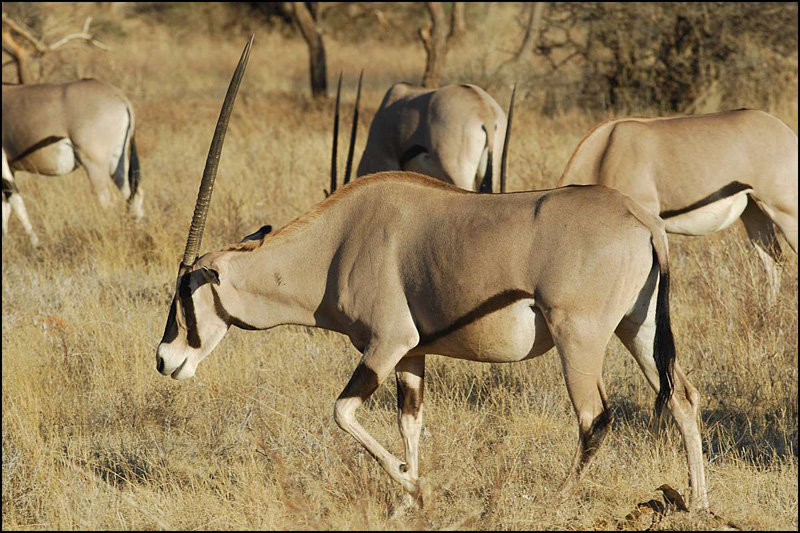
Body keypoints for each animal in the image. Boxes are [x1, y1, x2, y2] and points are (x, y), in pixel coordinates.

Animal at [1, 79, 143, 245]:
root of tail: (121, 97)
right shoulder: (11, 167)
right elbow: (6, 206)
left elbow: (15, 202)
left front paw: (35, 244)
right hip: (117, 162)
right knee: (133, 194)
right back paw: (137, 233)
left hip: (94, 164)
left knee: (107, 201)